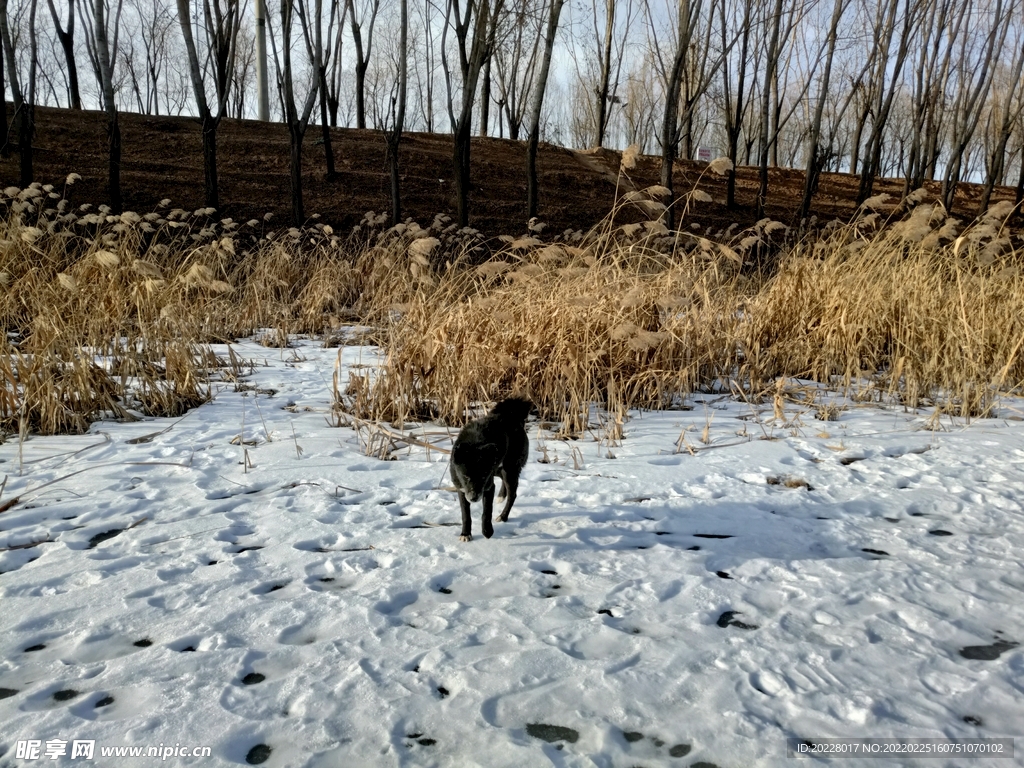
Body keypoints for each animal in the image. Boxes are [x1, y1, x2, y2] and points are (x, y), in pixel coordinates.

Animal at [450, 397, 532, 540]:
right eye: (465, 476)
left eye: (483, 476)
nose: (474, 498)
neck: (473, 444)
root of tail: (511, 415)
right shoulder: (461, 489)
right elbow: (465, 515)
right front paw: (465, 534)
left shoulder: (488, 487)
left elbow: (487, 512)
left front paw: (487, 532)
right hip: (499, 469)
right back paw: (501, 496)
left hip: (510, 469)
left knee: (512, 495)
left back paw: (503, 516)